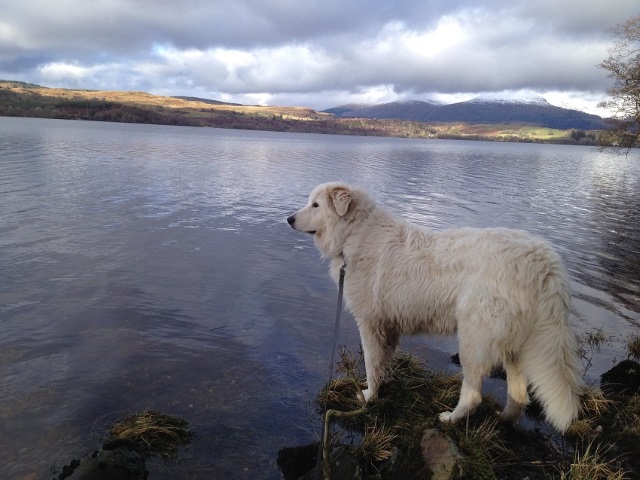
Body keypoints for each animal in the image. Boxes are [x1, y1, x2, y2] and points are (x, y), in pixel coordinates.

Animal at [290, 182, 584, 434]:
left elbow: (372, 365)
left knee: (474, 395)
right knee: (520, 395)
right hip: (513, 347)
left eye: (315, 205)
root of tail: (541, 261)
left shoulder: (370, 323)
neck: (354, 233)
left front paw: (368, 397)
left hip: (473, 340)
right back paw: (503, 420)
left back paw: (450, 419)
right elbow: (382, 362)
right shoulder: (388, 326)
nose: (289, 219)